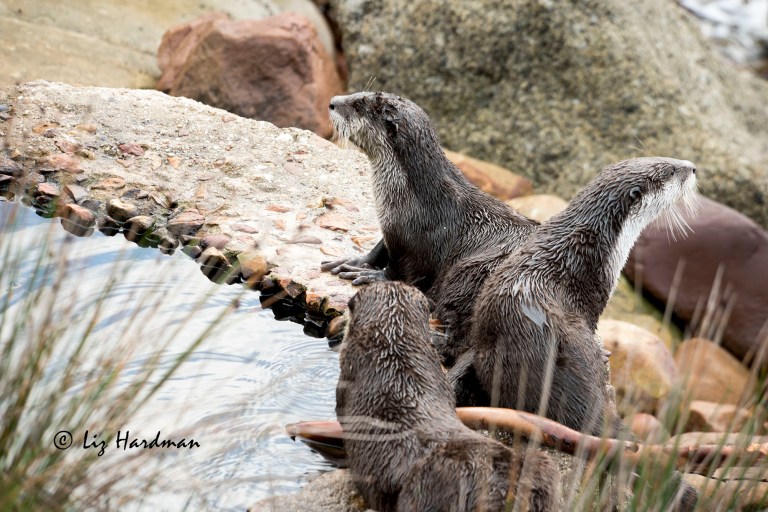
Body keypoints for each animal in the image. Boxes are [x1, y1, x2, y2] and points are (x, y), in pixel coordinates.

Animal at [320, 92, 537, 294]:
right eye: (360, 94)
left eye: (358, 106)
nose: (332, 102)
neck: (418, 199)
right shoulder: (391, 227)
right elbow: (380, 248)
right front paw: (354, 261)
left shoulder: (420, 244)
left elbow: (404, 272)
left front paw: (373, 275)